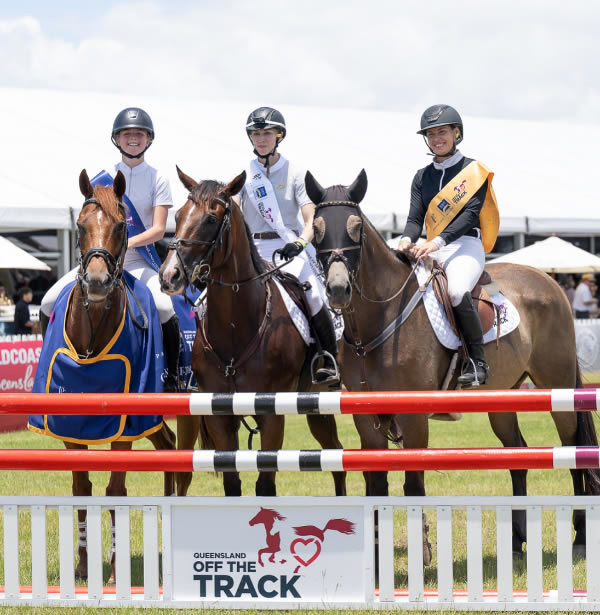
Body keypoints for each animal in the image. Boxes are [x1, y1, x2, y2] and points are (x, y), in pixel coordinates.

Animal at [29, 171, 176, 584]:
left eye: (123, 225)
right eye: (79, 226)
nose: (96, 281)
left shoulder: (124, 427)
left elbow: (115, 489)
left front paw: (113, 574)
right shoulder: (69, 426)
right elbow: (81, 488)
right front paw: (81, 567)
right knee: (170, 446)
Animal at [159, 168, 346, 500]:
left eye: (211, 219)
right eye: (178, 215)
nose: (170, 276)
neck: (236, 327)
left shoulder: (272, 416)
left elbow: (265, 485)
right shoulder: (220, 416)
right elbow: (232, 483)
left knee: (339, 455)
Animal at [308, 167, 600, 560]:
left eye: (356, 228)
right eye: (317, 229)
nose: (338, 290)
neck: (381, 316)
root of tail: (546, 280)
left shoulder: (413, 417)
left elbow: (412, 484)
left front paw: (421, 553)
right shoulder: (366, 418)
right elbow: (376, 483)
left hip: (556, 388)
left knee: (572, 449)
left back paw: (580, 538)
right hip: (502, 397)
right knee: (518, 453)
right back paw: (516, 543)